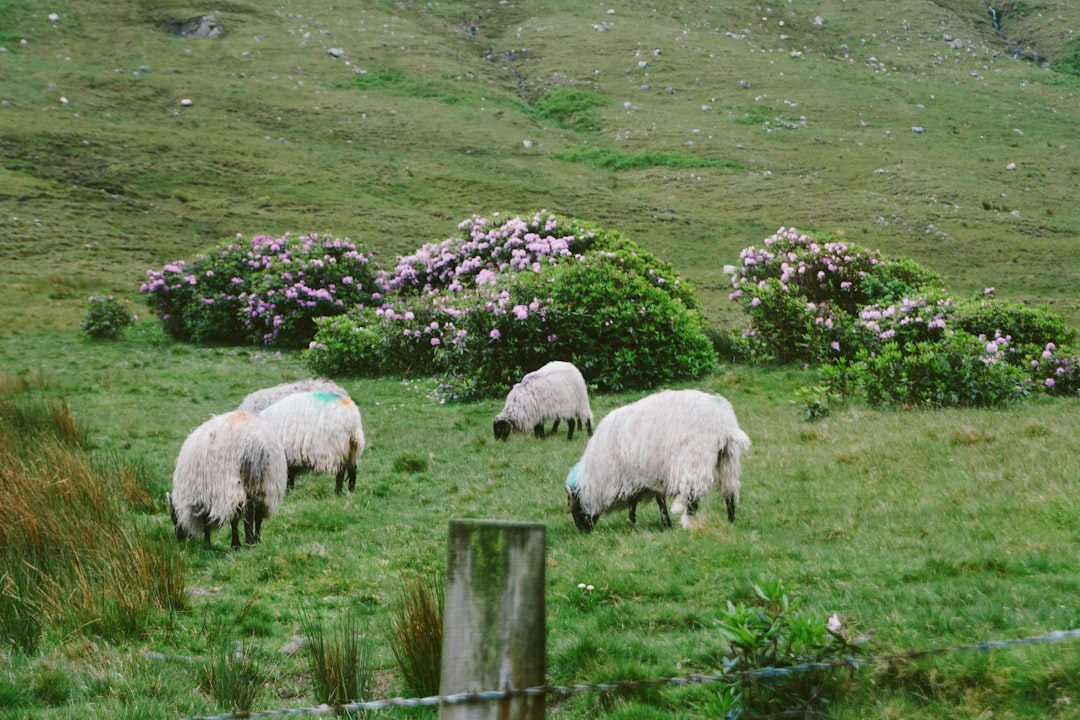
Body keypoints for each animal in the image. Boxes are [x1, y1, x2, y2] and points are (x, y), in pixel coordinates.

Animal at [166, 410, 288, 549]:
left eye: (173, 516)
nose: (179, 539)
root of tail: (256, 442)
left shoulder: (205, 496)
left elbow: (207, 521)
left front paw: (209, 543)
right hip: (266, 484)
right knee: (258, 513)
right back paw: (256, 540)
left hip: (235, 483)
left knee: (246, 512)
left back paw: (247, 542)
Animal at [565, 389, 751, 532]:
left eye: (575, 505)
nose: (583, 531)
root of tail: (723, 425)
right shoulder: (637, 477)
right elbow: (634, 501)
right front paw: (632, 522)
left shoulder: (648, 474)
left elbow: (658, 501)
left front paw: (665, 524)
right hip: (728, 460)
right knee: (729, 494)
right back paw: (730, 521)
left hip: (695, 460)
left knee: (693, 496)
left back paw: (688, 523)